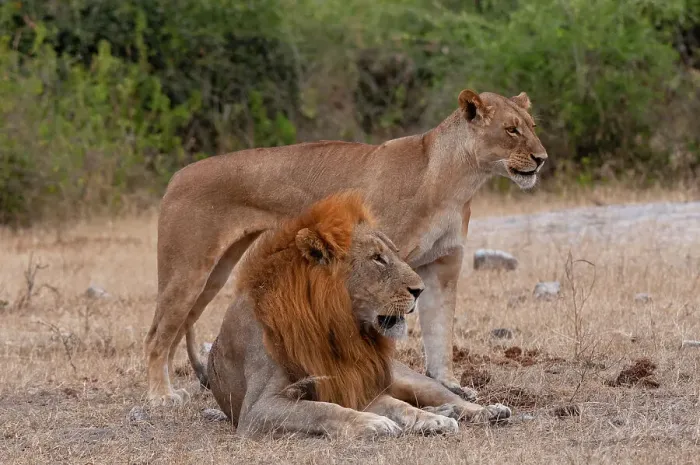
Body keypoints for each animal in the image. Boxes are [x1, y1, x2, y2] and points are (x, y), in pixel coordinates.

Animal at [145, 88, 548, 404]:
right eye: (511, 129)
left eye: (533, 127)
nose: (542, 159)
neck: (457, 181)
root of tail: (177, 175)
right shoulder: (386, 263)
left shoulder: (444, 266)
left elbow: (440, 332)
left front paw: (450, 385)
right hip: (187, 269)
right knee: (156, 334)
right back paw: (160, 397)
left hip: (215, 272)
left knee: (178, 327)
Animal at [204, 192, 510, 438]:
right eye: (377, 258)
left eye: (394, 254)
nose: (420, 290)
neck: (334, 329)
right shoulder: (257, 409)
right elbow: (322, 409)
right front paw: (374, 423)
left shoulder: (356, 384)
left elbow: (393, 406)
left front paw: (422, 420)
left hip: (409, 379)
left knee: (442, 397)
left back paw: (481, 411)